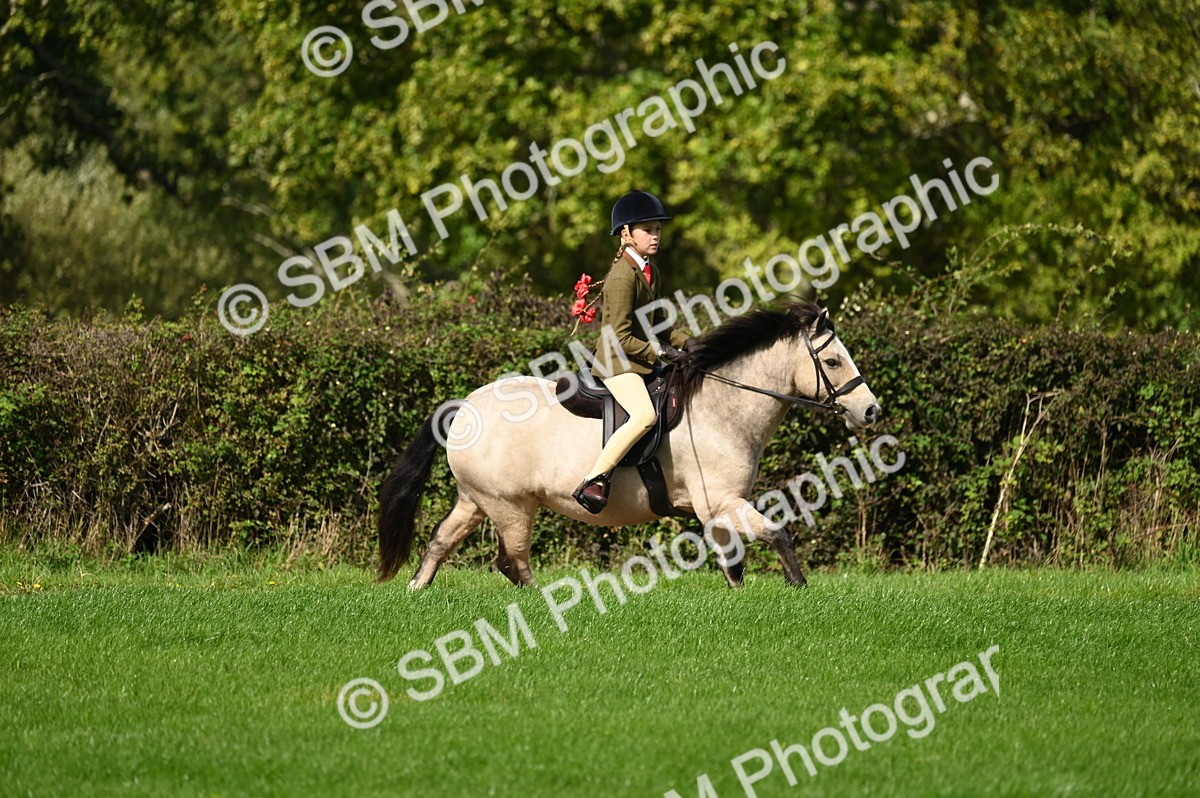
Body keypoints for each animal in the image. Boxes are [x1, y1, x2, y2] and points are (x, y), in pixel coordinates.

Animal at [378, 300, 880, 589]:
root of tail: (464, 407)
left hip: (475, 500)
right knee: (512, 562)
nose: (871, 411)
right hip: (510, 507)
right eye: (833, 361)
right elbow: (777, 533)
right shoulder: (722, 502)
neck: (722, 406)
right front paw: (799, 588)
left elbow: (733, 565)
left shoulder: (718, 510)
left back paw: (416, 590)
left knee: (441, 542)